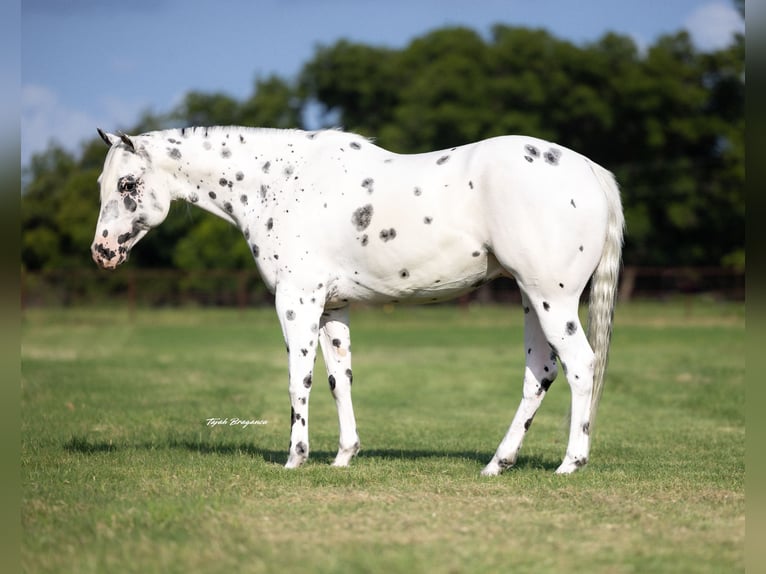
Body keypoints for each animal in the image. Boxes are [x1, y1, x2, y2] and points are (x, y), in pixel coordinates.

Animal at [91, 126, 624, 475]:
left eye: (128, 185)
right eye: (104, 185)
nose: (103, 251)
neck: (280, 181)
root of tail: (591, 171)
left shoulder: (297, 301)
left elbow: (299, 381)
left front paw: (295, 459)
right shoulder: (332, 306)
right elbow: (337, 379)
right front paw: (344, 456)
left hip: (550, 298)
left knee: (580, 365)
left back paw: (570, 463)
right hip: (532, 298)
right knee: (541, 373)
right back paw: (498, 462)